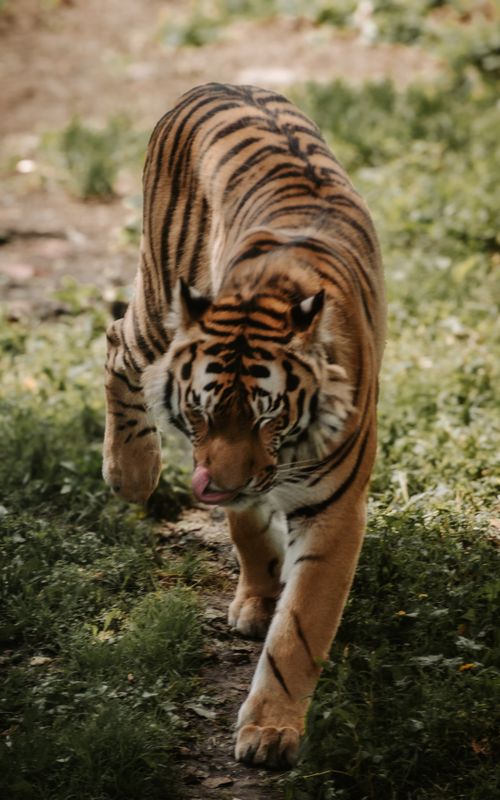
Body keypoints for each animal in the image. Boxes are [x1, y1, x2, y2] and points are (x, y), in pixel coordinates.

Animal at [102, 82, 385, 768]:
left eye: (269, 416)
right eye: (201, 412)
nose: (218, 486)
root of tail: (218, 84)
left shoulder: (334, 511)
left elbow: (299, 628)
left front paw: (268, 731)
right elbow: (247, 532)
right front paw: (258, 598)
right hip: (160, 300)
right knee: (116, 340)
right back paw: (131, 472)